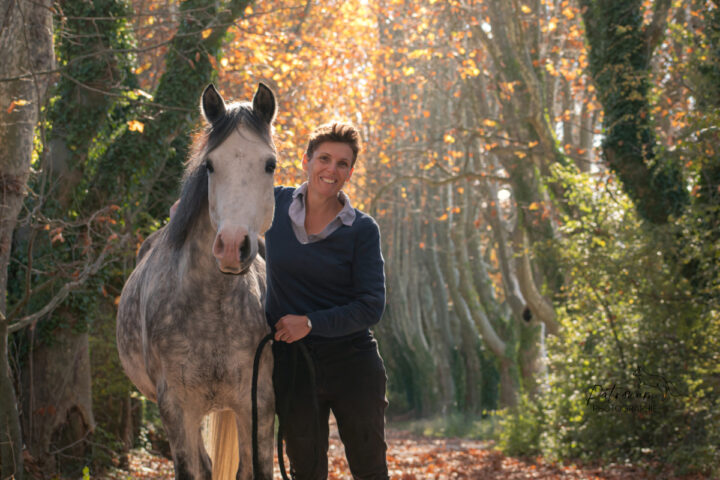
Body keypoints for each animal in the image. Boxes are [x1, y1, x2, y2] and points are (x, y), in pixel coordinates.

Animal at [116, 84, 278, 478]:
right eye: (210, 165)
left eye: (269, 164)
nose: (233, 246)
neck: (211, 305)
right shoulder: (176, 408)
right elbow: (192, 470)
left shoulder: (258, 404)